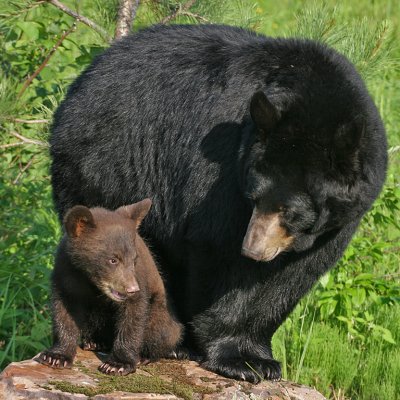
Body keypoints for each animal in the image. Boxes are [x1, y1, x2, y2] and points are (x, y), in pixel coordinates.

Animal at [36, 200, 183, 376]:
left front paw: (117, 364)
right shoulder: (66, 271)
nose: (132, 289)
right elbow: (64, 310)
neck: (89, 279)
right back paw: (94, 342)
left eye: (134, 260)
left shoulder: (139, 278)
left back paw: (146, 355)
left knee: (159, 329)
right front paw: (56, 356)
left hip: (162, 313)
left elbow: (132, 316)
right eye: (113, 260)